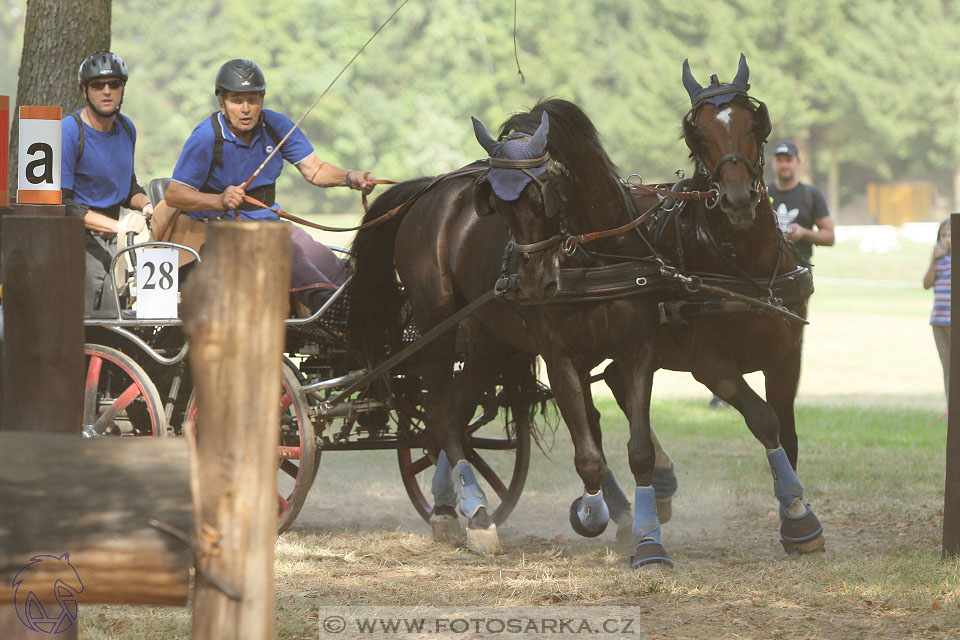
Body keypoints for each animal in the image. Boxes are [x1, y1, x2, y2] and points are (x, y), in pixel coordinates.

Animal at [350, 97, 676, 564]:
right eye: (498, 207)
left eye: (543, 198)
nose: (533, 283)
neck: (595, 259)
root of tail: (426, 191)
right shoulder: (560, 357)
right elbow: (589, 452)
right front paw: (593, 512)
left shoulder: (637, 351)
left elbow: (637, 449)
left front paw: (648, 539)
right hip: (437, 324)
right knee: (440, 414)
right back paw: (476, 515)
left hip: (492, 341)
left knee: (456, 413)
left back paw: (448, 503)